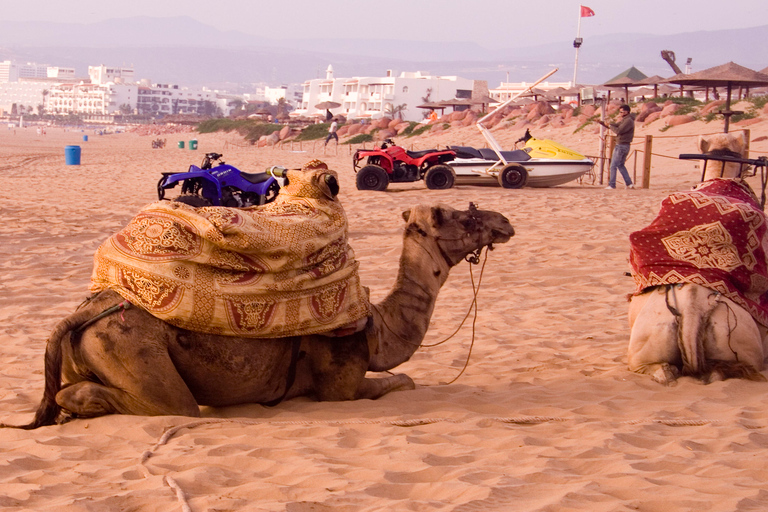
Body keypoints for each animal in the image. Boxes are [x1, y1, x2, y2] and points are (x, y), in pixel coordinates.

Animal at [6, 202, 512, 430]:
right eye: (459, 215)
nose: (504, 221)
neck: (377, 328)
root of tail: (88, 310)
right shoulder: (340, 384)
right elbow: (402, 381)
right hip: (129, 348)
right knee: (173, 406)